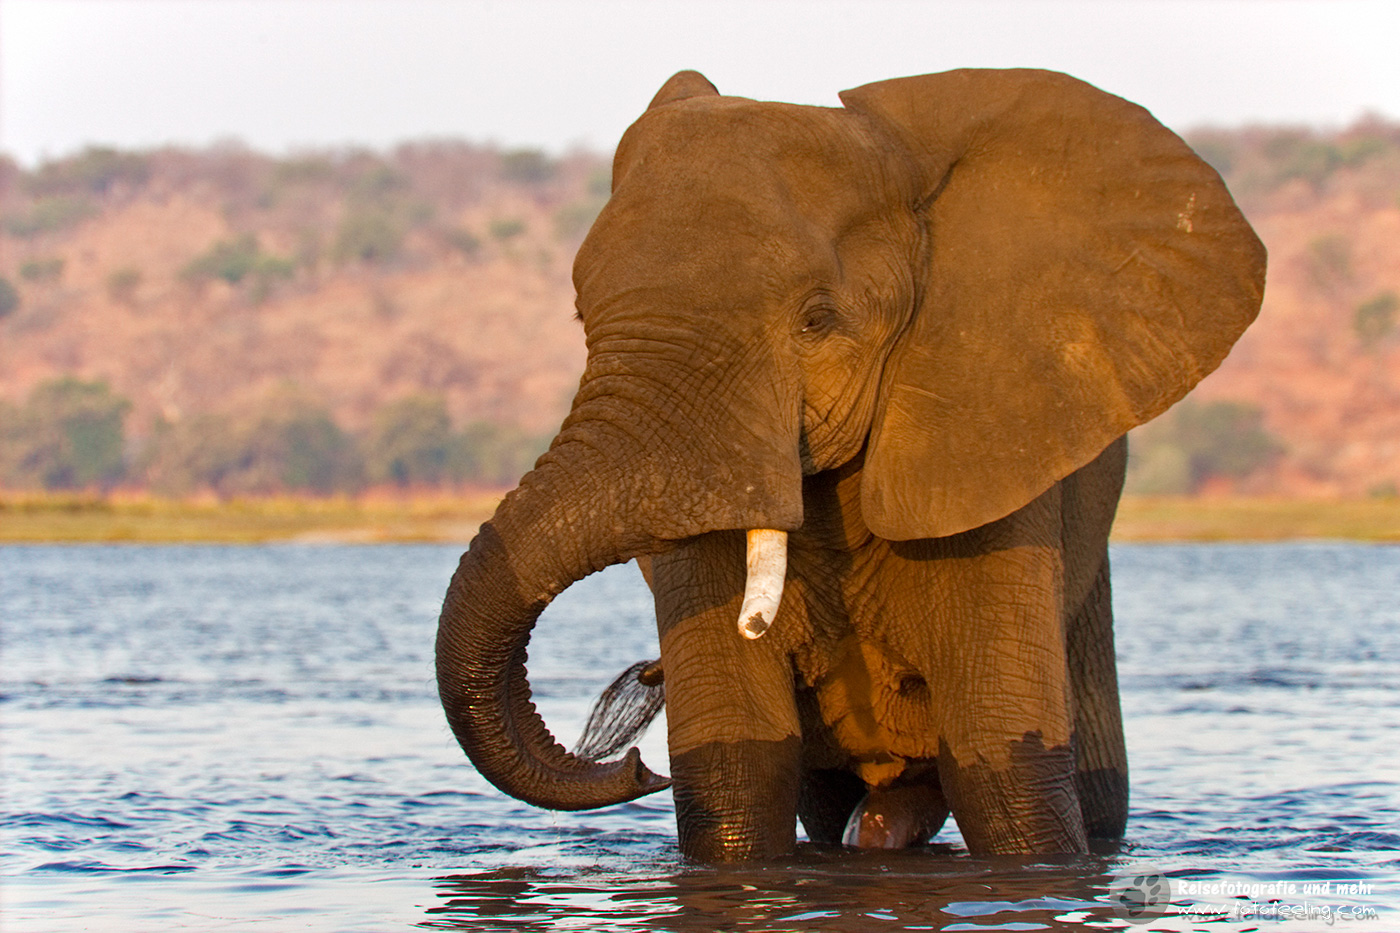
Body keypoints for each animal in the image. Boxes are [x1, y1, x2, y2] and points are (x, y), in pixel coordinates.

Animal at [436, 68, 1266, 862]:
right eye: (583, 317)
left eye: (817, 322)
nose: (636, 762)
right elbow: (735, 776)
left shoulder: (990, 432)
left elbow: (1009, 777)